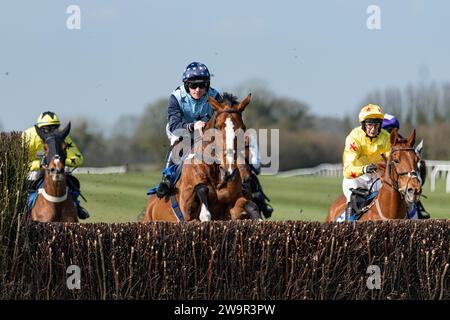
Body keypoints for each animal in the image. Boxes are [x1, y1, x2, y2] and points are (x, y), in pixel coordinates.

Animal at [140, 93, 260, 222]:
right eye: (217, 127)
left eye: (242, 128)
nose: (229, 171)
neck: (215, 175)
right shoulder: (186, 210)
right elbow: (201, 188)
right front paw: (205, 215)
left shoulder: (229, 210)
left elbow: (250, 205)